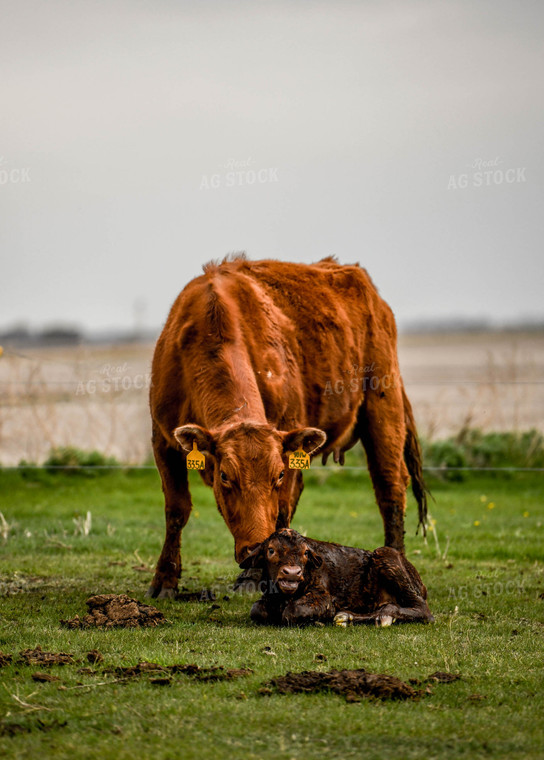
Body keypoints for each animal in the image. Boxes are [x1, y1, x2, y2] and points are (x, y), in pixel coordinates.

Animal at [147, 255, 428, 600]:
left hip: (383, 406)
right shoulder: (162, 439)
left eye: (278, 475)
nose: (254, 550)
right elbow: (176, 509)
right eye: (225, 476)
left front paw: (255, 577)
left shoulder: (289, 439)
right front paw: (165, 579)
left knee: (390, 485)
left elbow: (281, 511)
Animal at [238, 528, 434, 628]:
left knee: (423, 611)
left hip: (386, 555)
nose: (292, 572)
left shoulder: (323, 598)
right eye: (271, 550)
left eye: (305, 553)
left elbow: (293, 612)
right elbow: (256, 610)